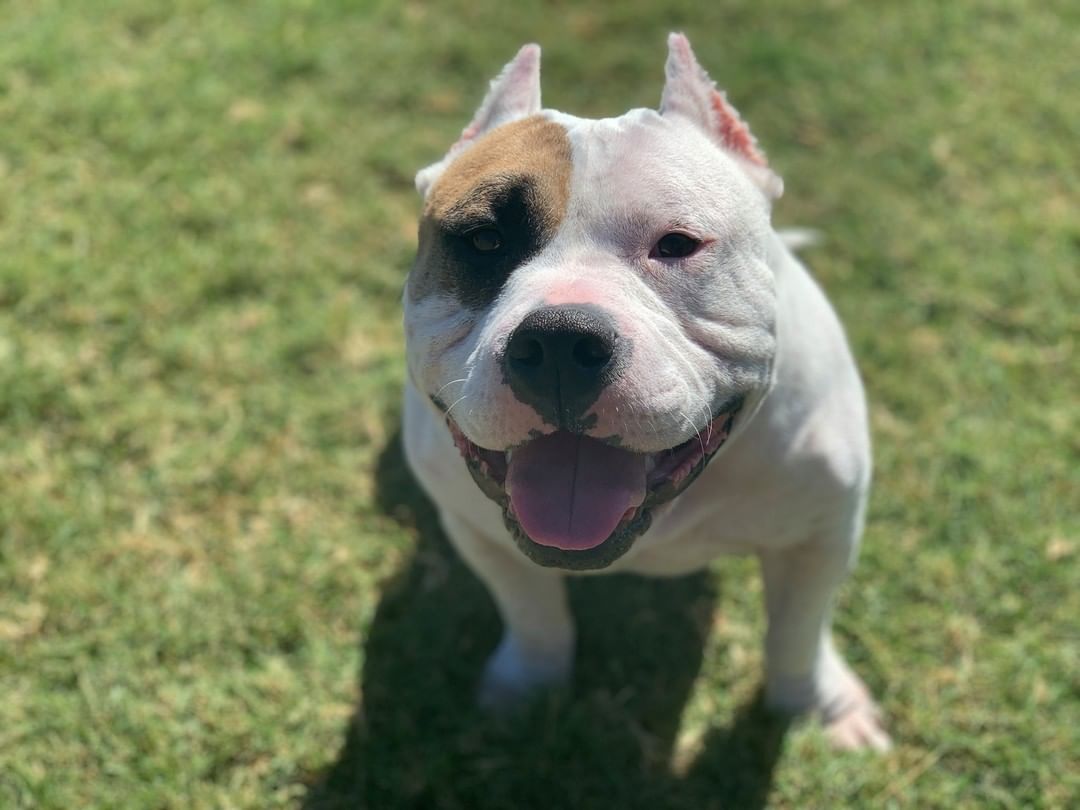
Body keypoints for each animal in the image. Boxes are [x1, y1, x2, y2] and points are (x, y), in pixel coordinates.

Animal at [401, 33, 889, 756]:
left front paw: (817, 708)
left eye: (677, 245)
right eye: (484, 240)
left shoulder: (819, 540)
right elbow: (533, 615)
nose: (558, 342)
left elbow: (797, 637)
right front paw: (527, 687)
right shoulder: (479, 534)